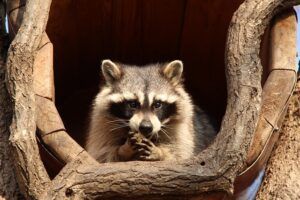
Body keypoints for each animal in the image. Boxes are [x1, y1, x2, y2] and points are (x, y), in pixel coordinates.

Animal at [84, 59, 216, 162]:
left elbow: (180, 154)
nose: (146, 127)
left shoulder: (183, 128)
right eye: (133, 104)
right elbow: (102, 154)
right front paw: (123, 150)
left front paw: (160, 153)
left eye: (157, 104)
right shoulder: (102, 124)